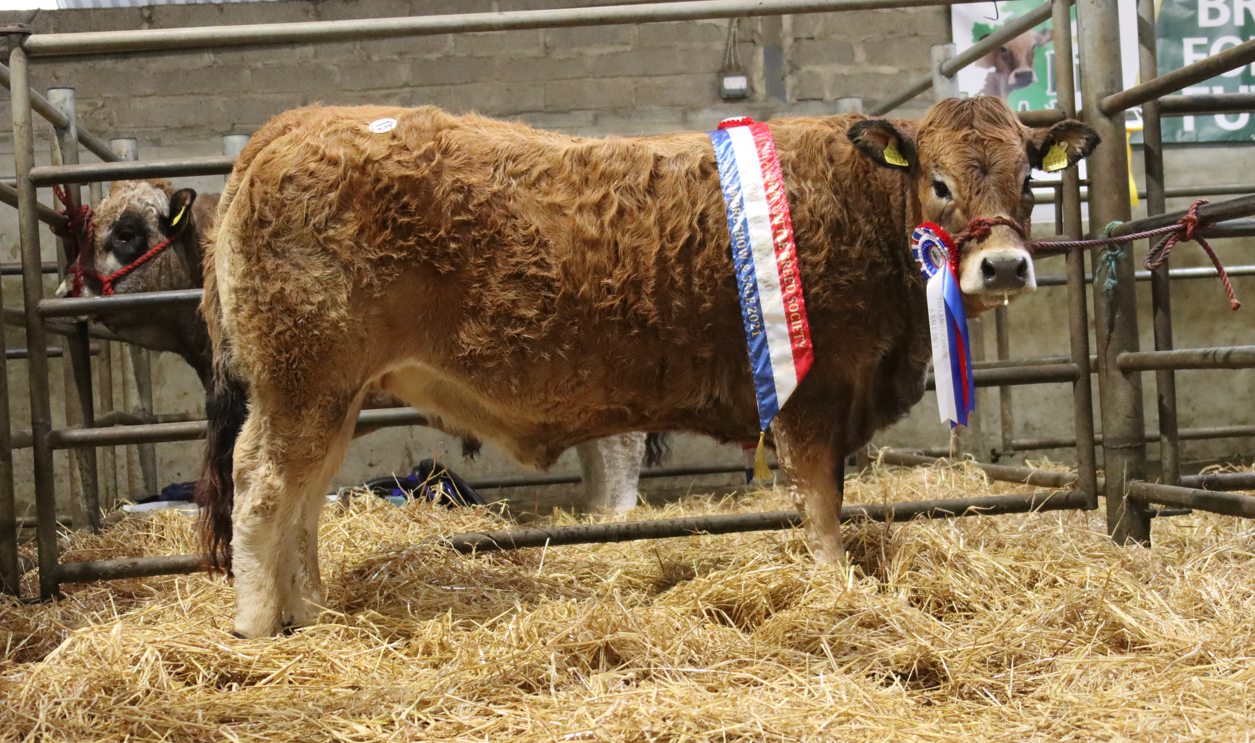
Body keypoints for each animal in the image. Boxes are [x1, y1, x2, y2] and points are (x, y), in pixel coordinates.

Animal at [198, 96, 1099, 637]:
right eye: (939, 183)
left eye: (1027, 176)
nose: (1005, 265)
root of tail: (296, 125)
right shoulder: (813, 396)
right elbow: (819, 511)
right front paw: (836, 591)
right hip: (302, 379)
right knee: (264, 486)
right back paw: (258, 625)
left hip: (328, 391)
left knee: (306, 497)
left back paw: (310, 611)